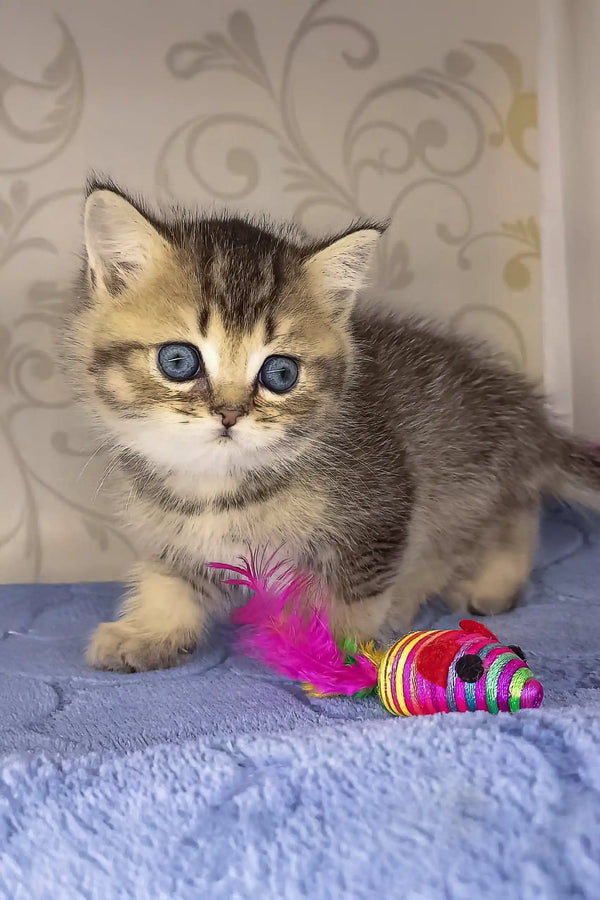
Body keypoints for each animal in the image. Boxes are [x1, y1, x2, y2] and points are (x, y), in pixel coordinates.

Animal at [63, 183, 596, 672]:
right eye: (178, 361)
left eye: (280, 373)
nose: (230, 414)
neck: (219, 485)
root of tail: (528, 418)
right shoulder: (181, 533)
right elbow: (172, 577)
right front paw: (150, 631)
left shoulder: (382, 510)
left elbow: (354, 593)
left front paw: (344, 648)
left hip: (460, 478)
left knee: (502, 520)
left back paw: (481, 586)